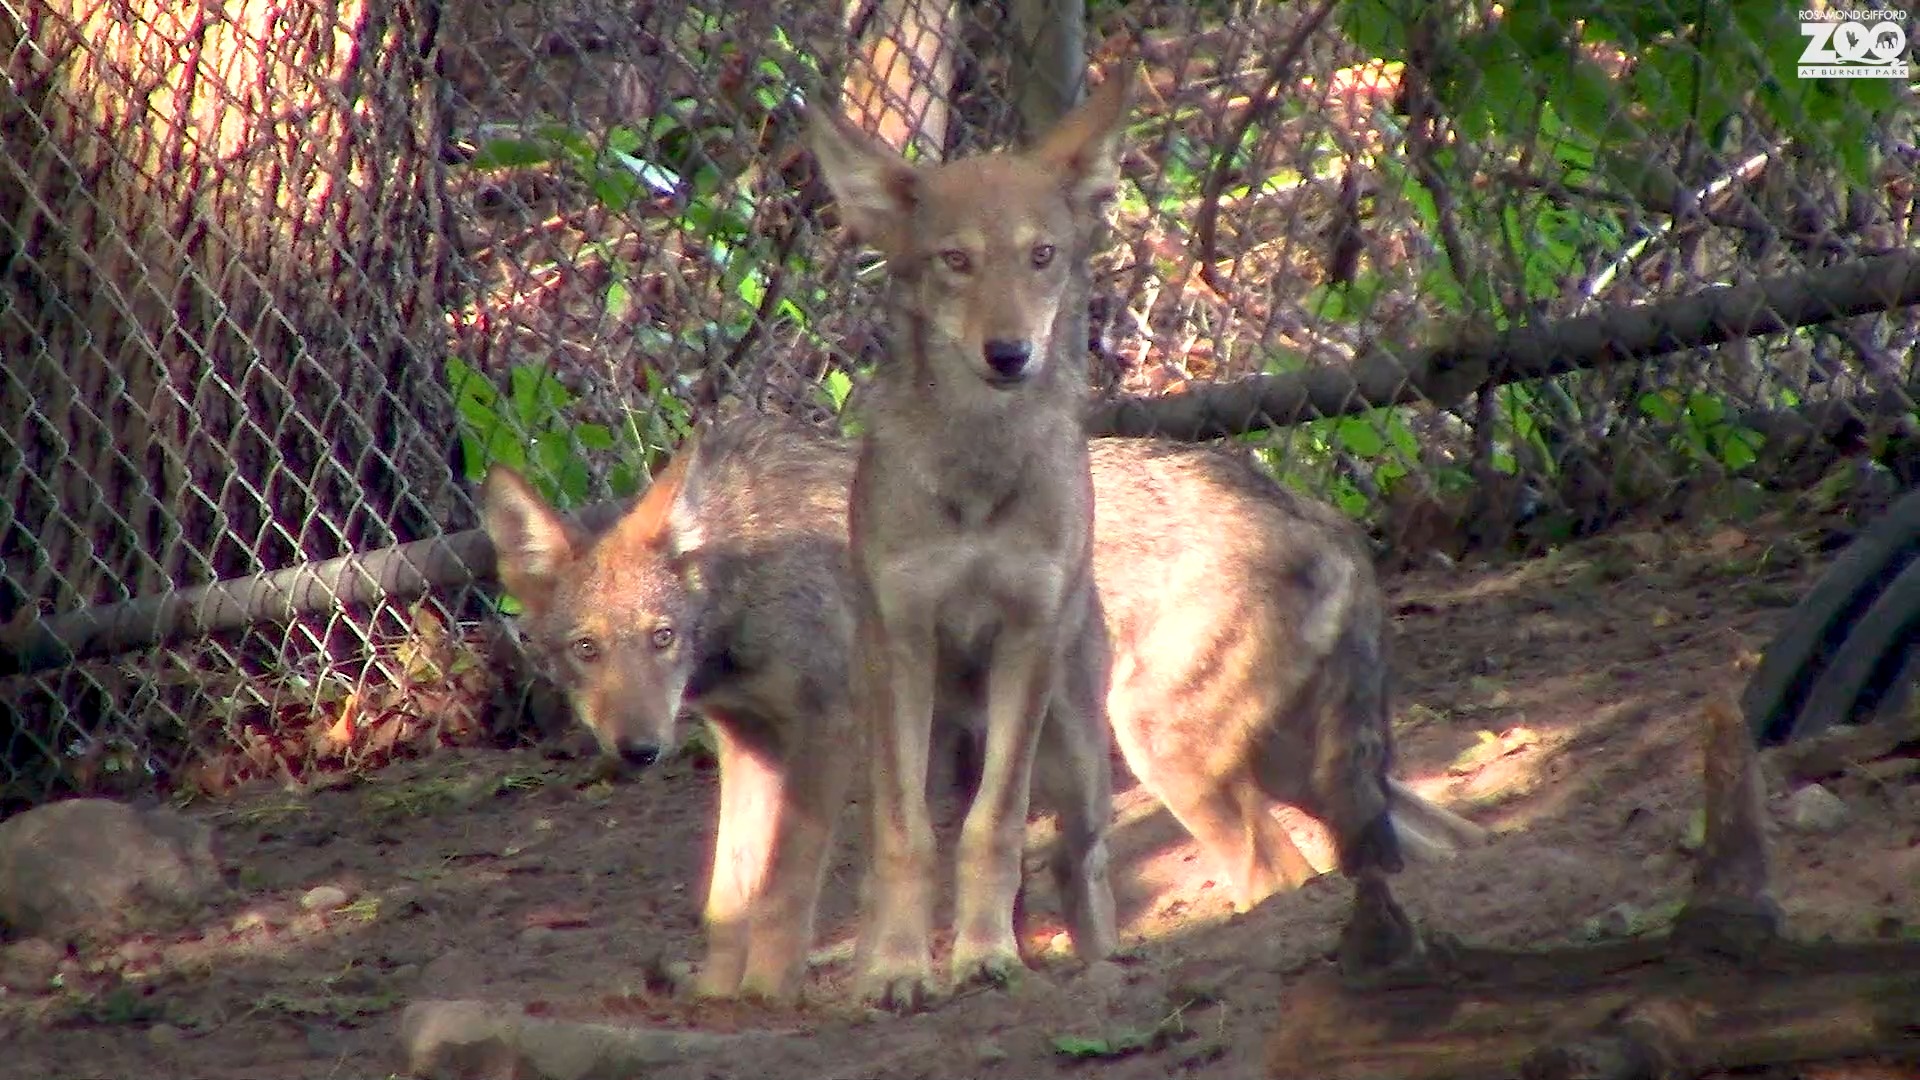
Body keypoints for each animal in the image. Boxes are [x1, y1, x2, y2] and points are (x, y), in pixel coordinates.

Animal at [481, 415, 1487, 1005]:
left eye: (659, 638)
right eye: (586, 651)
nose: (637, 749)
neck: (740, 574)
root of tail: (1320, 511)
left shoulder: (824, 738)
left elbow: (784, 894)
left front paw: (770, 999)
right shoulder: (748, 748)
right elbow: (727, 899)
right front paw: (720, 1003)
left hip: (1164, 754)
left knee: (1279, 874)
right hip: (1293, 771)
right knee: (1421, 845)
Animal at [804, 65, 1138, 1010]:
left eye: (1042, 256)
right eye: (955, 261)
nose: (1009, 353)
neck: (976, 478)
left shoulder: (1027, 639)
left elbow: (995, 827)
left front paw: (986, 954)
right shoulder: (905, 643)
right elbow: (907, 840)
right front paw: (899, 968)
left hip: (1078, 757)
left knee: (1078, 863)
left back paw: (1100, 964)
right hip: (902, 732)